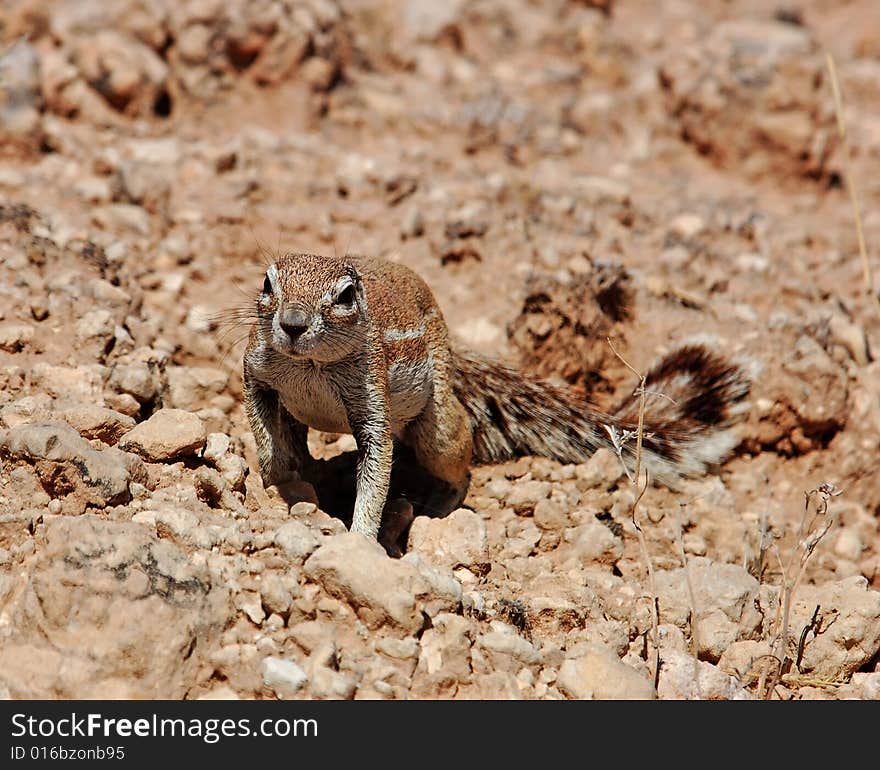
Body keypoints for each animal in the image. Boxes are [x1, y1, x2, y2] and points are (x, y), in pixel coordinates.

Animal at [244, 249, 752, 536]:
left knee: (459, 463)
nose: (292, 325)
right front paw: (273, 479)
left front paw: (360, 538)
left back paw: (439, 505)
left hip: (439, 430)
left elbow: (375, 473)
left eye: (346, 296)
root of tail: (452, 345)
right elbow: (264, 429)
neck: (309, 365)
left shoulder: (372, 404)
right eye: (267, 284)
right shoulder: (258, 370)